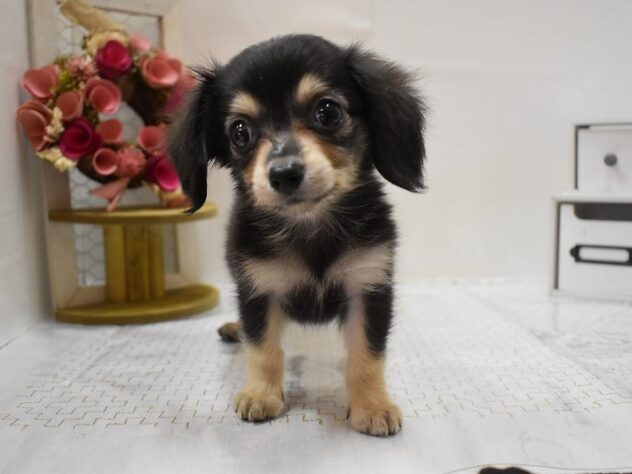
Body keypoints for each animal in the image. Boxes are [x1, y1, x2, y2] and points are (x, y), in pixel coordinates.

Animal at [168, 34, 427, 436]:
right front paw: (260, 395)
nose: (284, 173)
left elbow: (367, 355)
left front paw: (373, 406)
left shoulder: (367, 286)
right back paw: (233, 328)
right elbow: (262, 349)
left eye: (328, 112)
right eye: (240, 131)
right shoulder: (258, 289)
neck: (310, 228)